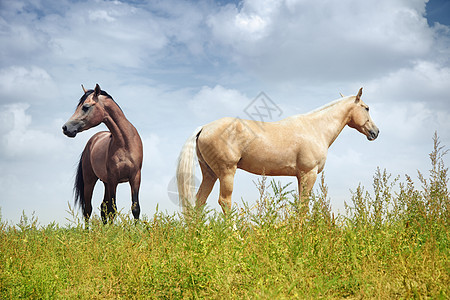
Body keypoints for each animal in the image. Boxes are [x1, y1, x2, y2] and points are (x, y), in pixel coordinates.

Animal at [62, 83, 143, 224]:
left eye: (85, 107)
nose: (65, 128)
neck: (125, 143)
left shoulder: (135, 177)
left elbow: (135, 207)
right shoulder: (113, 179)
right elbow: (112, 209)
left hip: (105, 183)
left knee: (102, 208)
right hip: (90, 181)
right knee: (88, 210)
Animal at [177, 87, 380, 213]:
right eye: (367, 108)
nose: (375, 132)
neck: (315, 128)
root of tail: (204, 128)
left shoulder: (300, 176)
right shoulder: (309, 173)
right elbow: (304, 205)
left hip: (210, 173)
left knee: (199, 201)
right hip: (226, 172)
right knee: (224, 201)